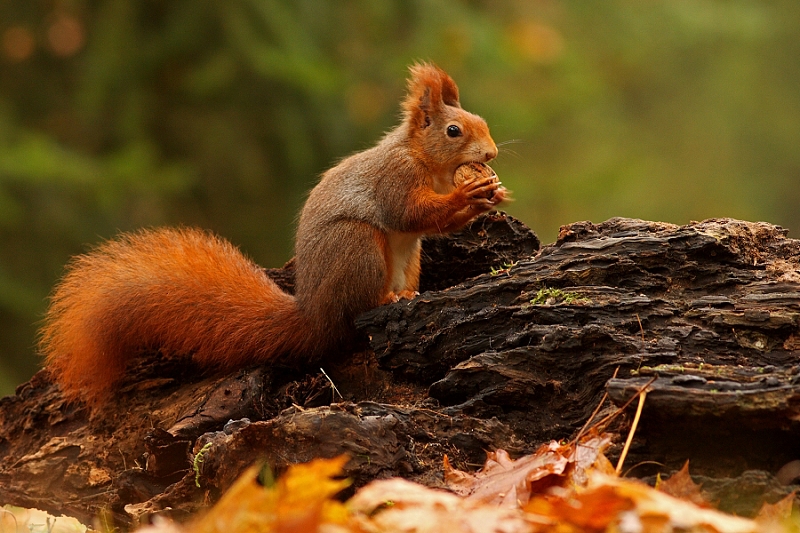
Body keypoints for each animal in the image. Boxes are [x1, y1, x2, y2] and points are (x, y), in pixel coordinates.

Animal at [38, 63, 508, 407]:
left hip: (410, 260)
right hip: (357, 247)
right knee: (355, 309)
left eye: (483, 121)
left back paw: (407, 294)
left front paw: (490, 194)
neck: (426, 160)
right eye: (453, 131)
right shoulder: (395, 179)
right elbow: (409, 213)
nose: (491, 153)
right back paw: (384, 300)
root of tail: (313, 313)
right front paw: (469, 193)